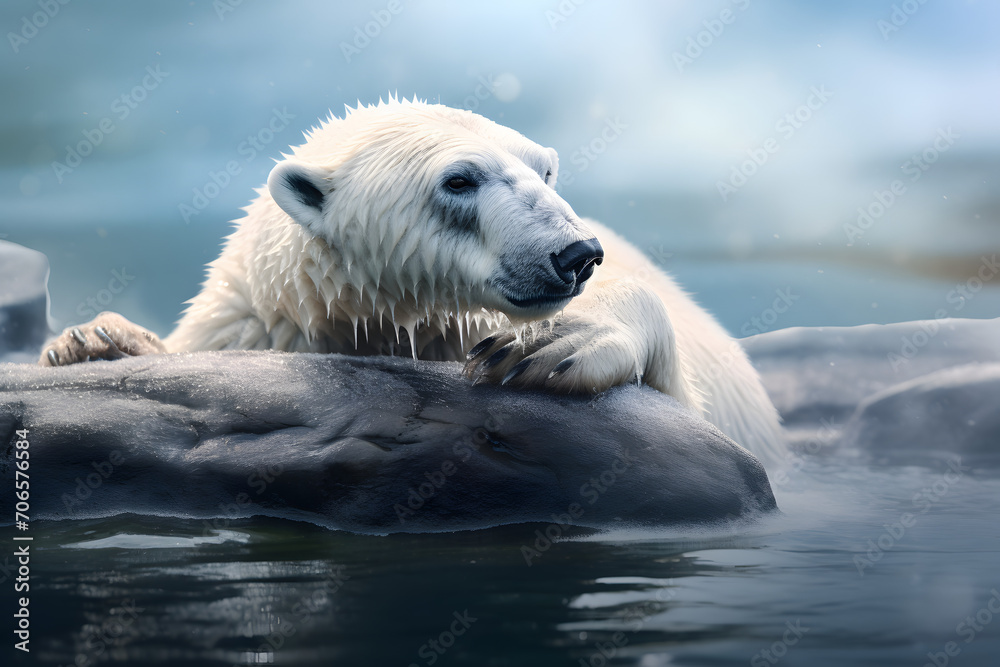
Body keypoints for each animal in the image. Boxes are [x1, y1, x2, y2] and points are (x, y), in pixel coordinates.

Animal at [39, 97, 785, 464]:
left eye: (544, 170)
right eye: (460, 179)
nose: (576, 254)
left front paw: (551, 343)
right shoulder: (259, 323)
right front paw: (93, 341)